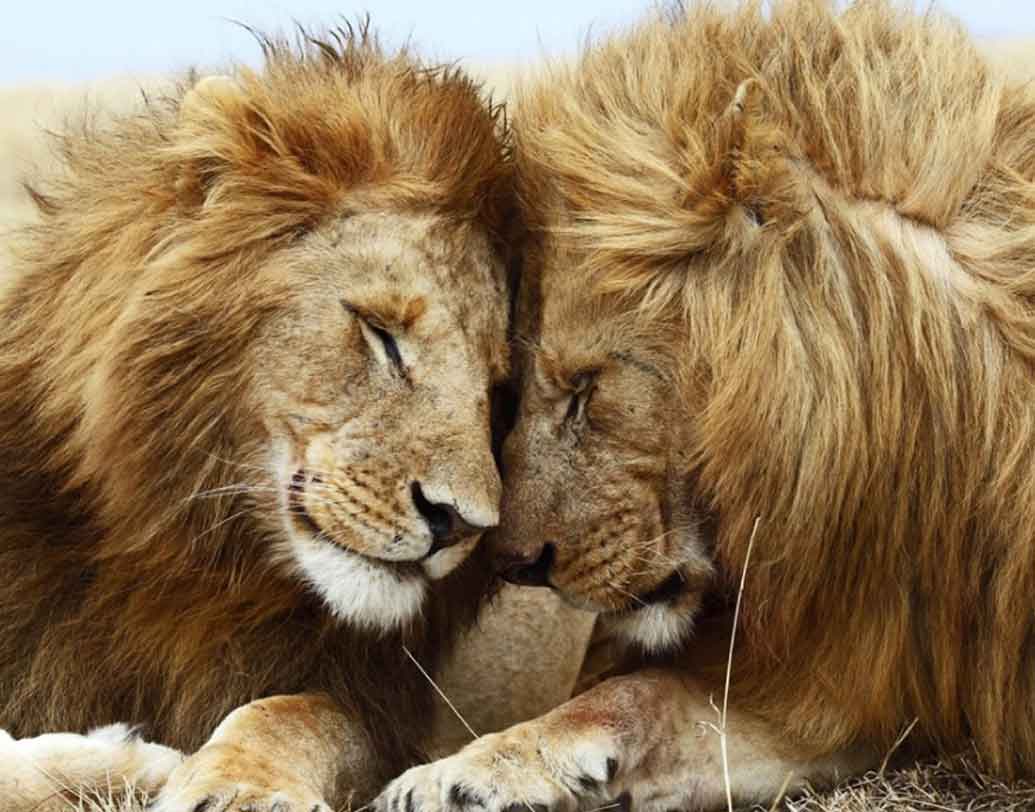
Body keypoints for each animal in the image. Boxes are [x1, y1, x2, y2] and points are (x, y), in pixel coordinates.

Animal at [0, 26, 516, 812]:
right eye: (380, 333)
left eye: (496, 387)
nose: (460, 524)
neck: (190, 558)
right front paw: (122, 759)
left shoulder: (364, 697)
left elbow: (299, 714)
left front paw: (238, 783)